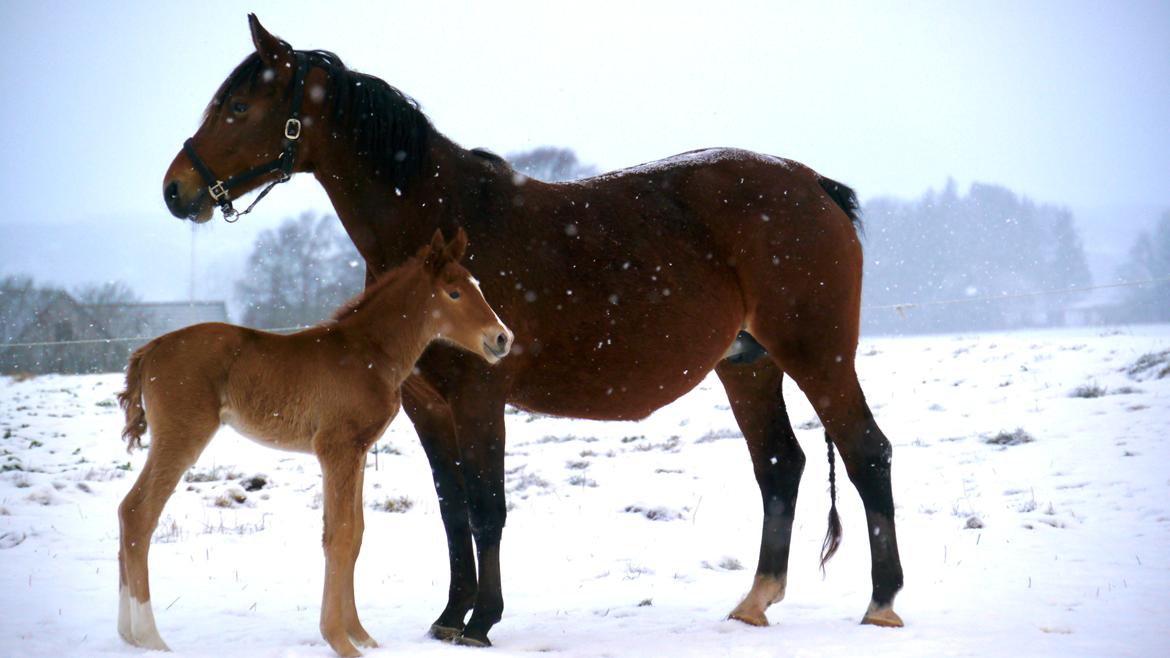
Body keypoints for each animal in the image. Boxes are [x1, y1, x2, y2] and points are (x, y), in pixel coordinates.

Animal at [116, 228, 514, 650]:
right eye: (453, 293)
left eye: (478, 286)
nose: (502, 338)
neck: (370, 352)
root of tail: (150, 348)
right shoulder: (336, 449)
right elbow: (339, 535)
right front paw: (339, 640)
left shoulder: (357, 451)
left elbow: (353, 534)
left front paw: (361, 637)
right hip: (182, 437)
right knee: (138, 513)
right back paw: (149, 637)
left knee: (127, 511)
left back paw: (128, 634)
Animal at [160, 14, 903, 646]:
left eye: (237, 106)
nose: (175, 190)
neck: (439, 225)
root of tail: (814, 186)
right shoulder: (429, 408)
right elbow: (453, 509)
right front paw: (449, 616)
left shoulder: (480, 396)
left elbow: (488, 505)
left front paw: (482, 620)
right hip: (748, 364)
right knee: (779, 464)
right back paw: (755, 602)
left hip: (817, 356)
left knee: (866, 451)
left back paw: (882, 603)